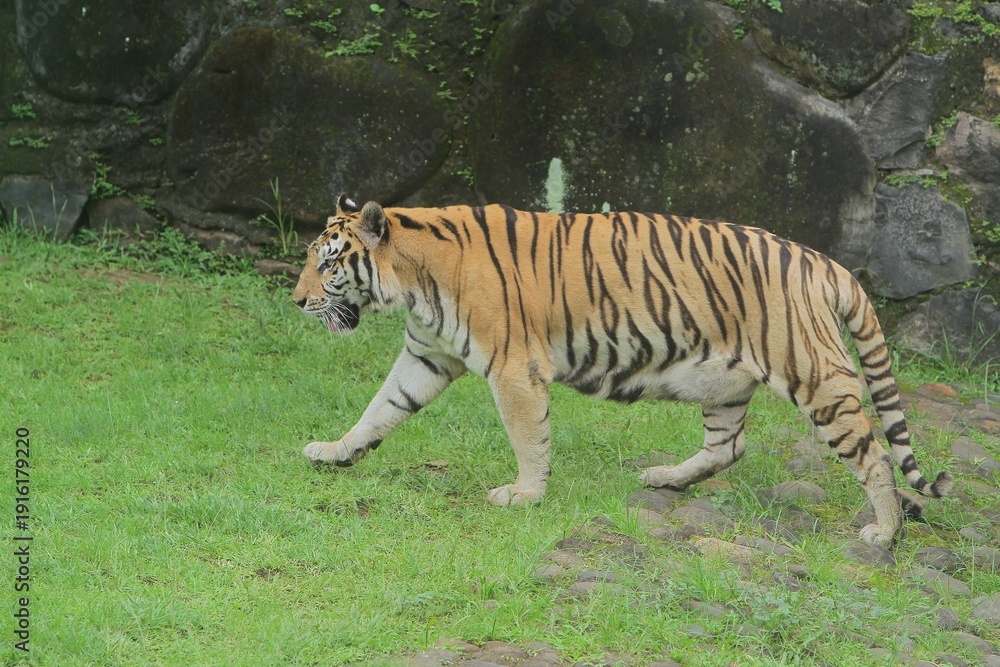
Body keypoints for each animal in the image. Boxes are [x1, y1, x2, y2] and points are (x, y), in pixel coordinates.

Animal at [292, 194, 952, 547]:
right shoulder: (426, 355)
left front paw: (524, 494)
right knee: (729, 446)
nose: (297, 301)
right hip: (726, 383)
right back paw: (665, 479)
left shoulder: (513, 368)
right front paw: (334, 452)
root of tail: (826, 263)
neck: (412, 280)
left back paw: (885, 532)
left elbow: (527, 436)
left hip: (817, 378)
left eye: (327, 266)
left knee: (873, 452)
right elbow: (379, 410)